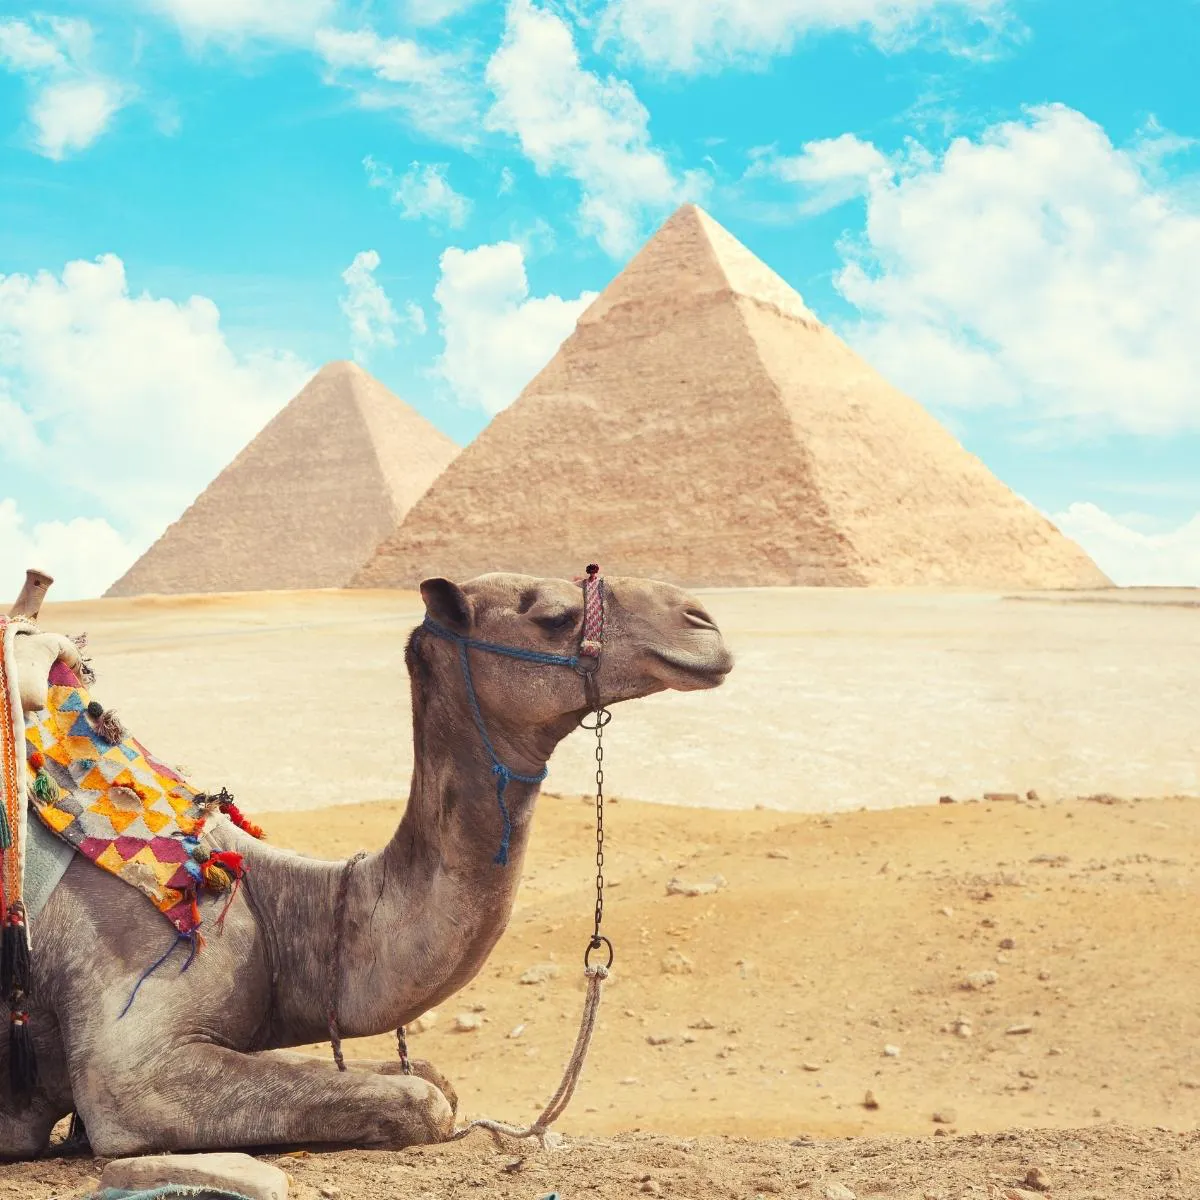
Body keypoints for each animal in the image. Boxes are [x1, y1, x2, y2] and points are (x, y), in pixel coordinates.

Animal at [0, 571, 732, 1158]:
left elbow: (434, 1077)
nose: (704, 622)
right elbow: (426, 1103)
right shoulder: (132, 1067)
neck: (265, 900)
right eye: (553, 615)